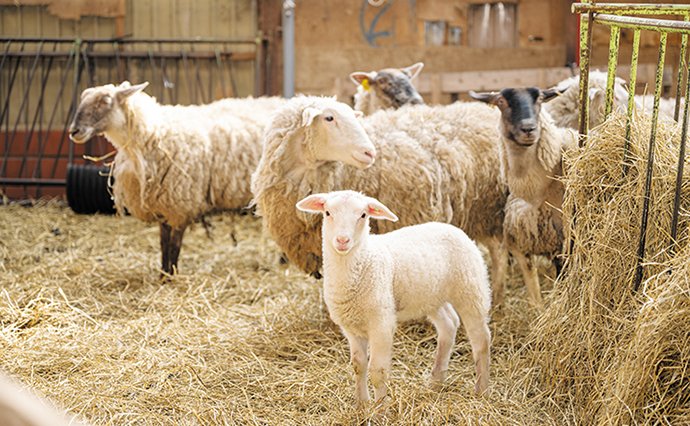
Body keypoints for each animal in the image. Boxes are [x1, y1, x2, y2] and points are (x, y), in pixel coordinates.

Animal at [68, 81, 284, 274]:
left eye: (104, 101)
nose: (73, 131)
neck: (155, 135)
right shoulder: (162, 203)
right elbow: (163, 241)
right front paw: (163, 274)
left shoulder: (182, 203)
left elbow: (174, 244)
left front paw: (172, 275)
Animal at [250, 95, 508, 300]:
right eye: (329, 118)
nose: (369, 152)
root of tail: (483, 111)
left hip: (491, 207)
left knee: (499, 253)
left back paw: (497, 293)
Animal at [296, 191, 490, 402]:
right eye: (328, 213)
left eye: (363, 215)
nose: (342, 240)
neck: (364, 260)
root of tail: (452, 227)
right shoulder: (351, 328)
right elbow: (358, 366)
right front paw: (362, 404)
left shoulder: (381, 324)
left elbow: (377, 372)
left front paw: (380, 407)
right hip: (431, 296)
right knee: (449, 324)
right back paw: (436, 383)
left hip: (471, 289)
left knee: (481, 338)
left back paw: (481, 389)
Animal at [470, 87, 576, 306]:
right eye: (501, 102)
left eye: (541, 99)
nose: (528, 129)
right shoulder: (521, 244)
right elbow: (535, 295)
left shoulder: (566, 241)